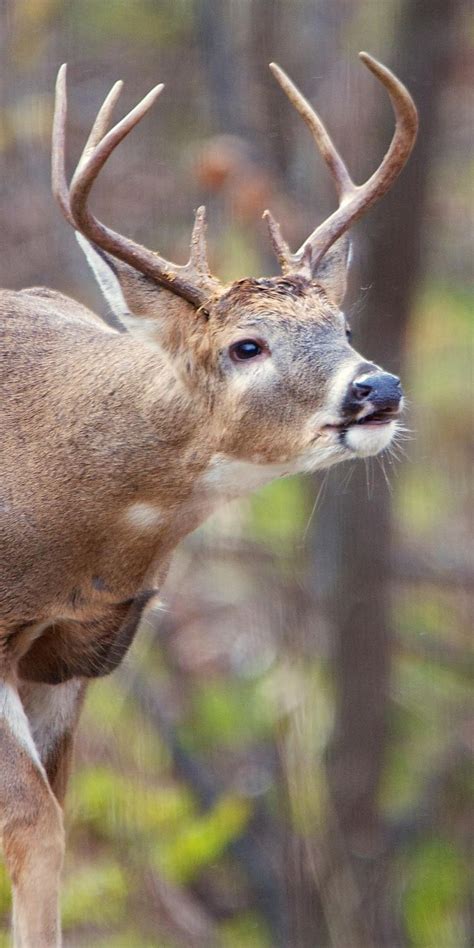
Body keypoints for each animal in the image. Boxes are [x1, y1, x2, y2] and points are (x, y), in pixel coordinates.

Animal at [0, 53, 414, 948]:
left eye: (344, 325)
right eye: (245, 345)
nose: (378, 388)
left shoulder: (66, 659)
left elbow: (50, 827)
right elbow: (35, 826)